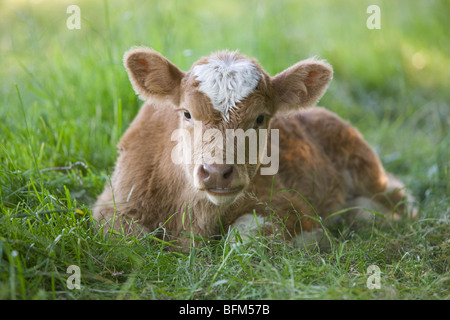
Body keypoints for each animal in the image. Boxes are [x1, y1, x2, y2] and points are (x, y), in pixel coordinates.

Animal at [93, 47, 416, 251]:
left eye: (260, 118)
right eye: (186, 113)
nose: (217, 172)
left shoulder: (292, 206)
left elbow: (242, 238)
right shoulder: (112, 204)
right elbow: (128, 239)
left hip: (369, 172)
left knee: (397, 201)